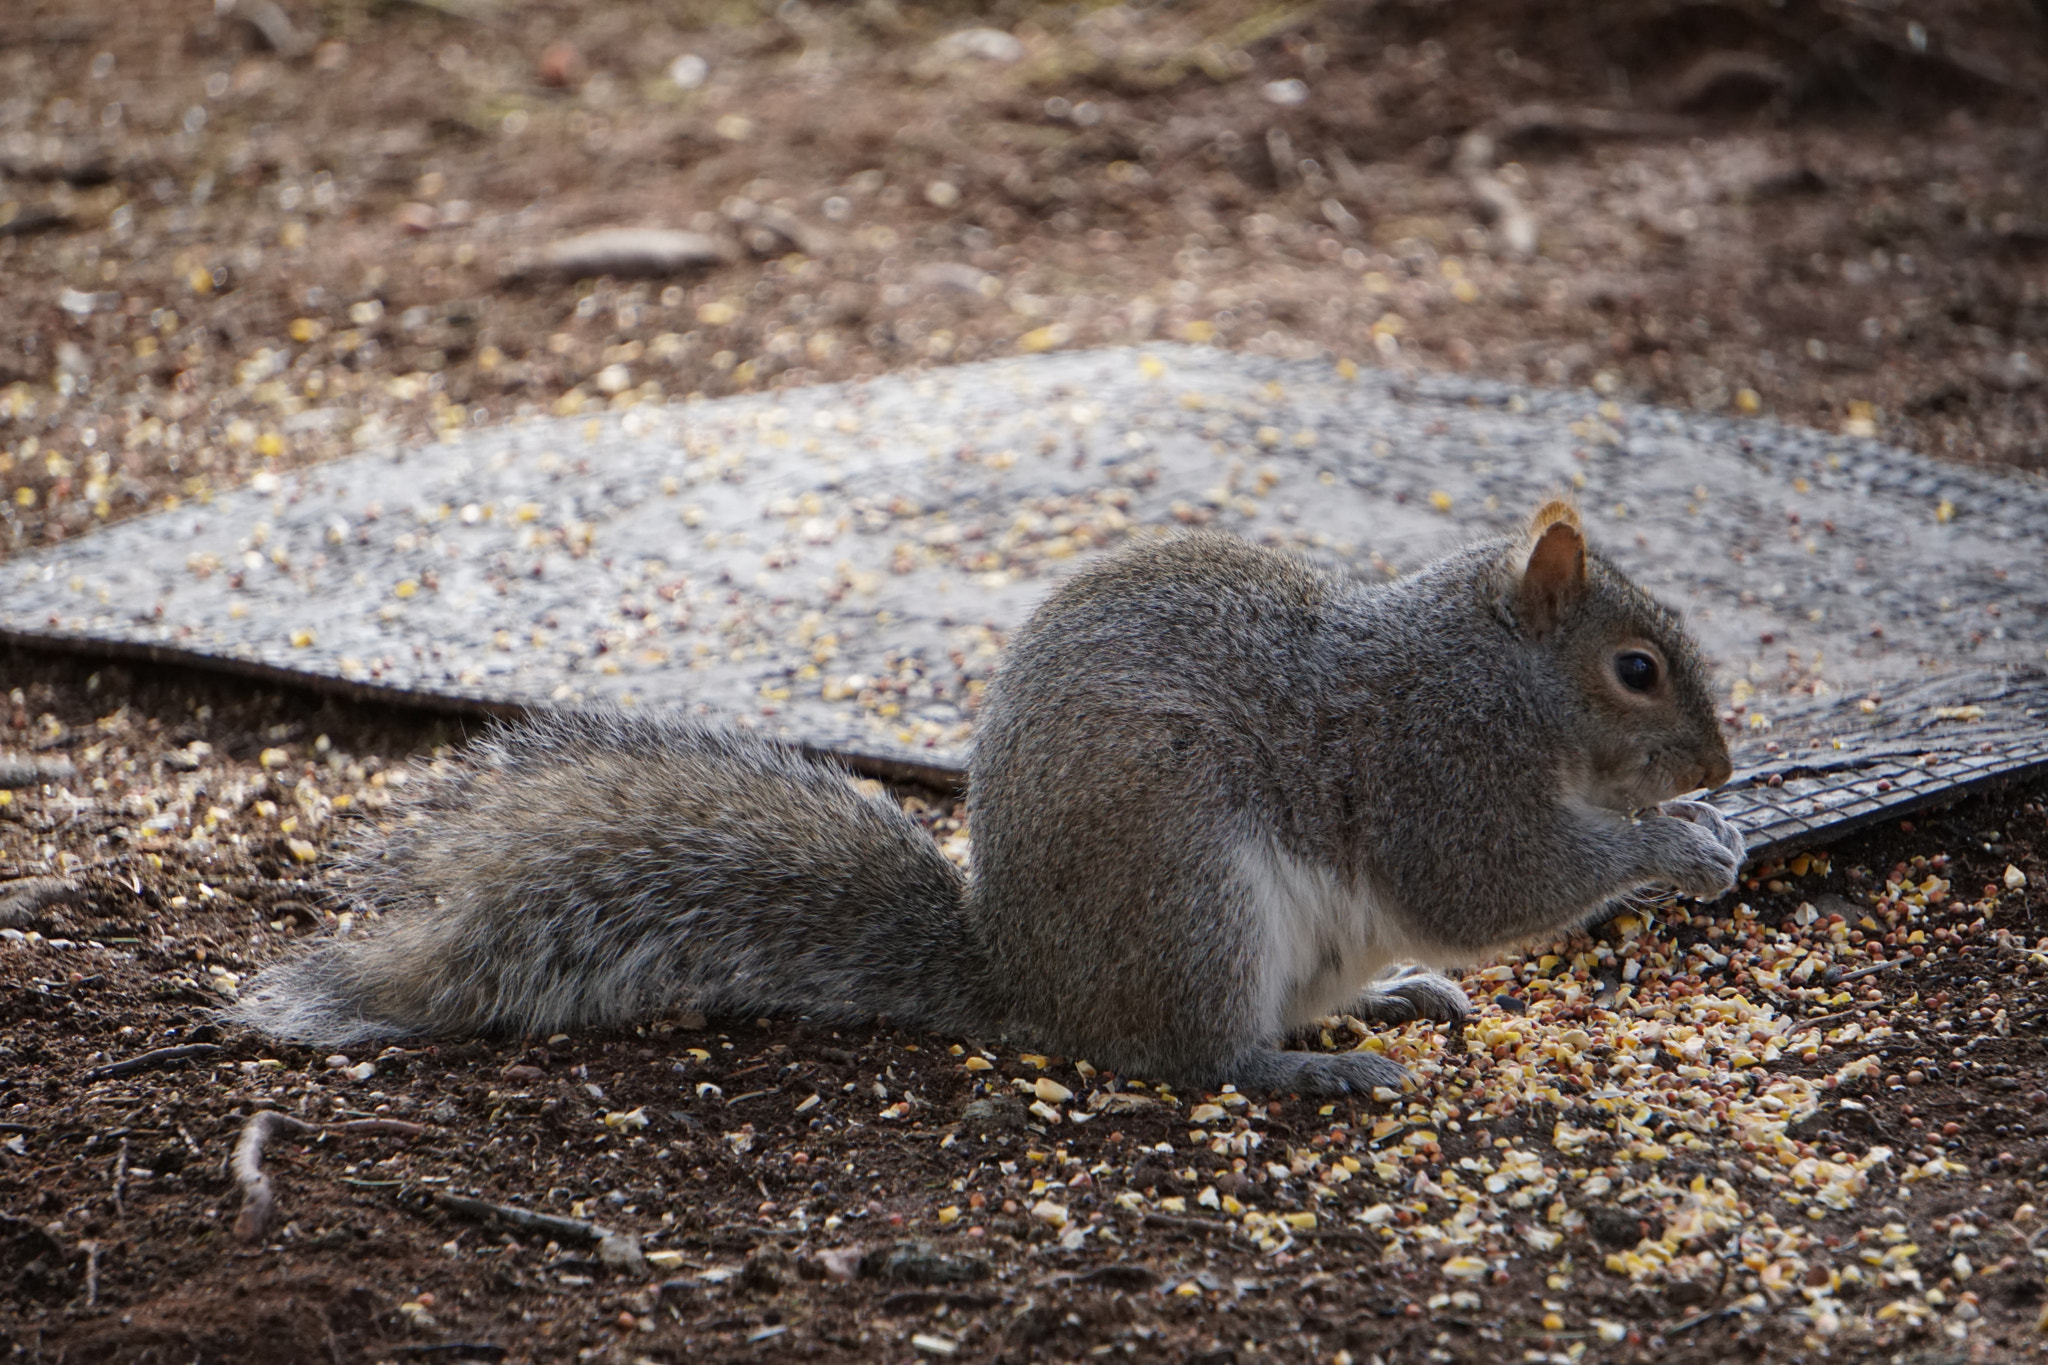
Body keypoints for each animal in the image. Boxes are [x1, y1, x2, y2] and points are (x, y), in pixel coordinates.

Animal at [235, 501, 1744, 1096]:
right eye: (1636, 669)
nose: (1723, 768)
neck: (1489, 672)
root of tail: (1035, 985)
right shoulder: (1436, 766)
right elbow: (1488, 885)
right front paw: (1674, 843)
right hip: (1193, 901)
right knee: (1197, 1058)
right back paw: (1313, 1068)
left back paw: (1384, 1000)